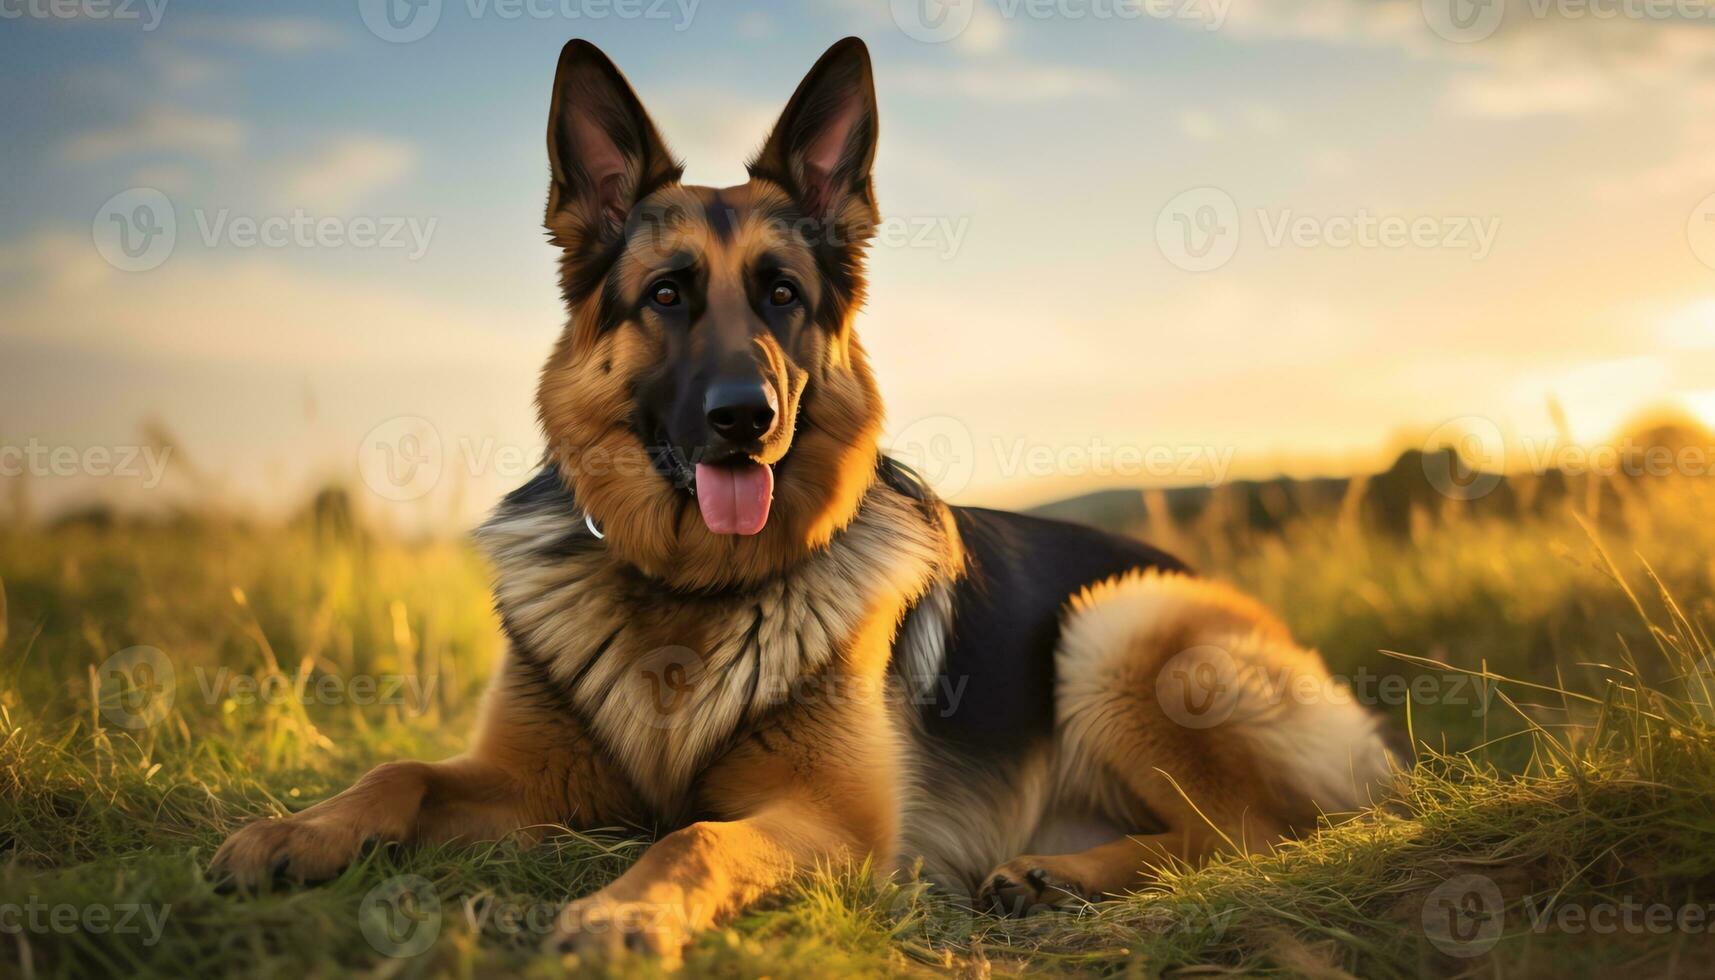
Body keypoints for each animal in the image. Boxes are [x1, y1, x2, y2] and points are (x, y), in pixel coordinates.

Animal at [210, 36, 1392, 961]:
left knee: (1254, 829)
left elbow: (691, 834)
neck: (685, 592)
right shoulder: (531, 784)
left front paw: (622, 914)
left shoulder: (827, 819)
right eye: (667, 294)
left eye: (781, 294)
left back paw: (1062, 875)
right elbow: (400, 768)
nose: (747, 416)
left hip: (1113, 625)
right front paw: (298, 830)